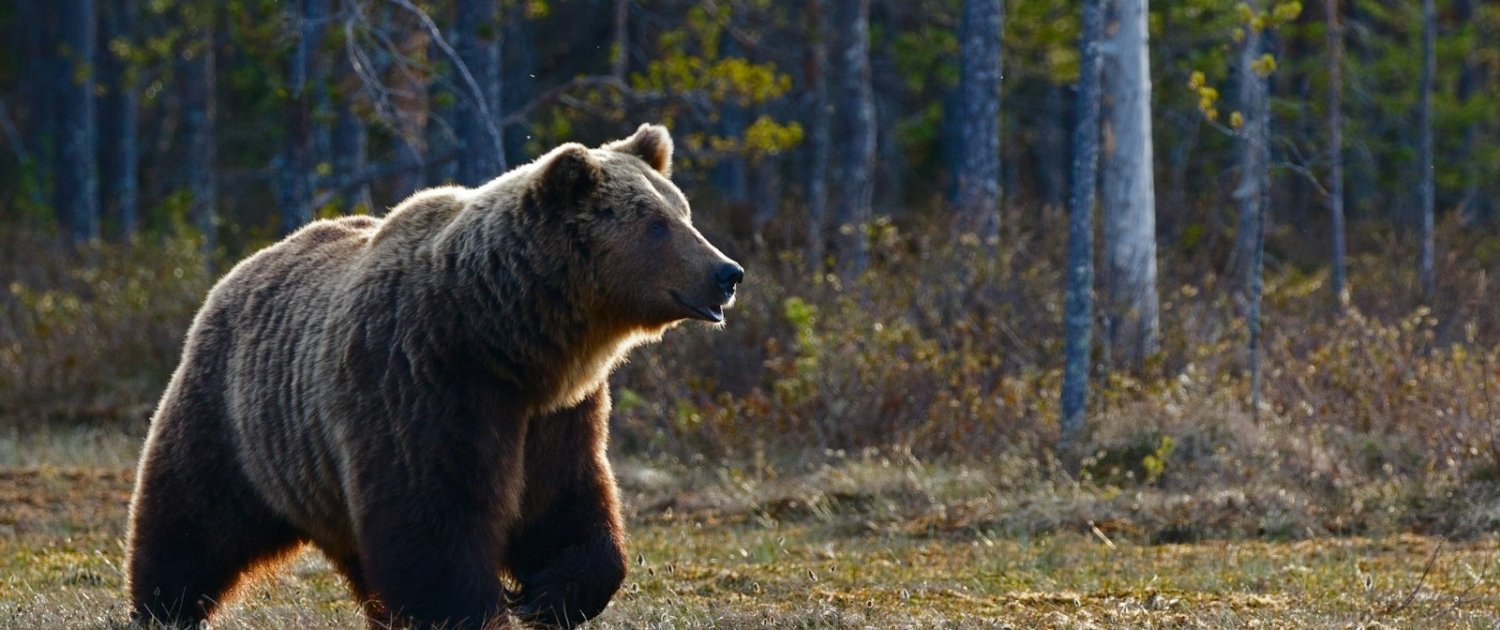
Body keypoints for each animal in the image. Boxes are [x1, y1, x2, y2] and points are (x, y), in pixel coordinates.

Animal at [125, 124, 743, 629]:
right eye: (657, 225)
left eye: (684, 213)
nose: (728, 272)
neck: (505, 337)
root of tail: (241, 269)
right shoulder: (424, 381)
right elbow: (435, 518)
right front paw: (479, 610)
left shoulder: (557, 411)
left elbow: (566, 500)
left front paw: (548, 595)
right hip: (236, 419)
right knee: (190, 518)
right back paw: (163, 607)